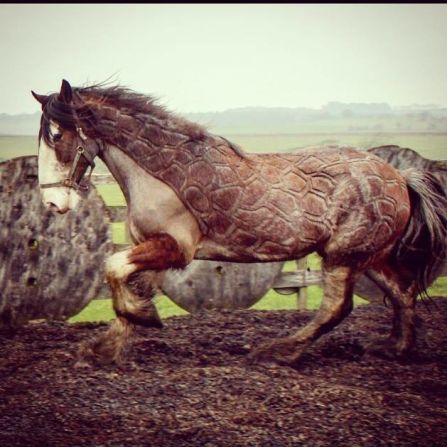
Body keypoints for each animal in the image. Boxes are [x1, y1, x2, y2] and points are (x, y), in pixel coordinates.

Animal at [31, 80, 447, 368]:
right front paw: (106, 347)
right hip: (368, 257)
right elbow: (129, 289)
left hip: (343, 257)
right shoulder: (152, 247)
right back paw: (394, 348)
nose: (53, 202)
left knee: (337, 308)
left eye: (58, 134)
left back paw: (276, 352)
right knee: (403, 292)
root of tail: (400, 177)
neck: (158, 174)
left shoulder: (175, 248)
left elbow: (112, 267)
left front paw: (141, 320)